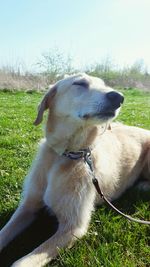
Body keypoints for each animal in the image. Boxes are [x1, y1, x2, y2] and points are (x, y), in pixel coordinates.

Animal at [0, 73, 150, 267]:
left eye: (104, 84)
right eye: (79, 83)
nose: (118, 97)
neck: (66, 155)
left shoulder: (73, 227)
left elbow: (22, 262)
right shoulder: (28, 206)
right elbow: (4, 232)